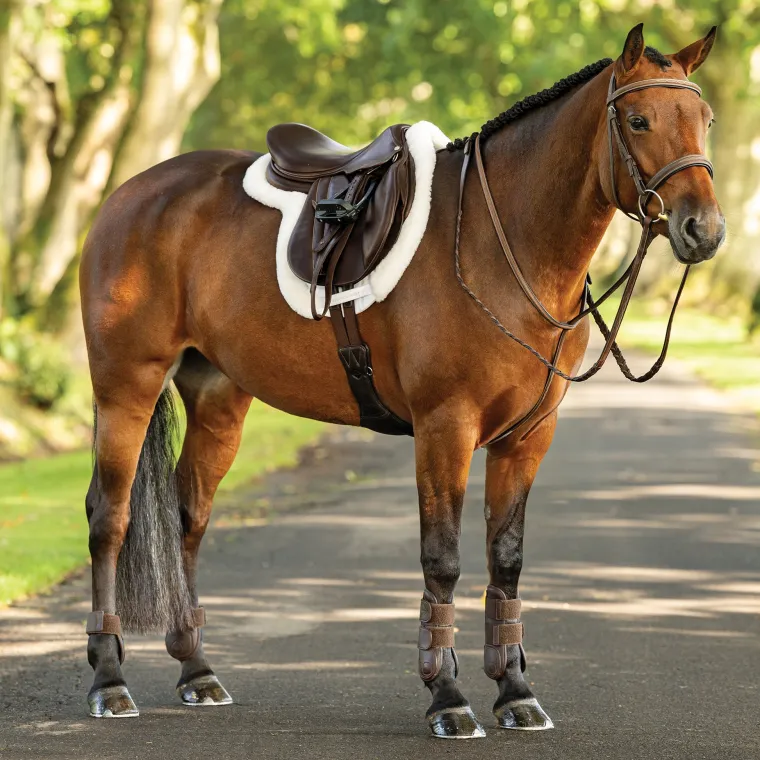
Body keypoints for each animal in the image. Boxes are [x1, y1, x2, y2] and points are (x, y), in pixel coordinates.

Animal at [78, 24, 724, 737]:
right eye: (638, 120)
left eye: (705, 120)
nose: (703, 229)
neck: (502, 241)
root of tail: (128, 194)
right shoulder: (445, 426)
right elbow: (442, 559)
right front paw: (448, 696)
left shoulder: (528, 435)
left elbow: (507, 558)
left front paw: (516, 692)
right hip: (126, 386)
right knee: (109, 518)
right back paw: (109, 682)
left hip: (219, 397)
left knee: (188, 516)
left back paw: (198, 672)